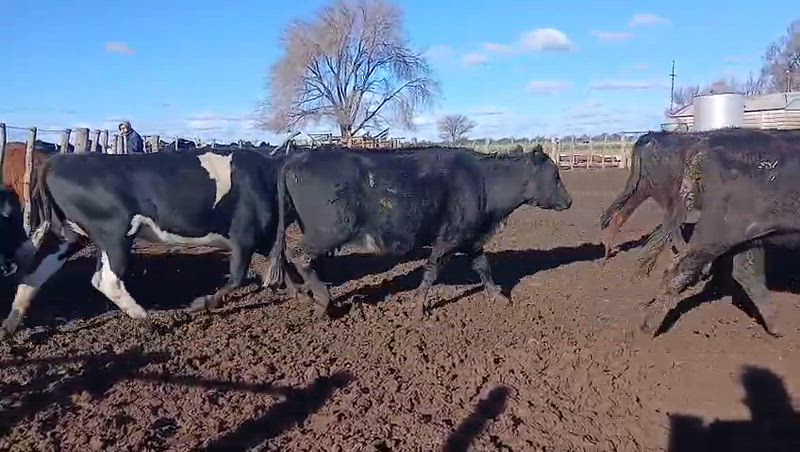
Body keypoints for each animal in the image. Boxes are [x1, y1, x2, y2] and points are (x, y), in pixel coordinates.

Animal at [0, 149, 293, 338]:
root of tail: (55, 161)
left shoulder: (263, 239)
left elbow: (290, 270)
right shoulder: (245, 234)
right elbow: (238, 277)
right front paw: (200, 304)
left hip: (68, 234)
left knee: (33, 274)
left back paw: (10, 325)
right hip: (115, 233)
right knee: (106, 281)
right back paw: (147, 321)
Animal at [266, 145, 572, 319]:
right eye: (555, 175)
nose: (569, 201)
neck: (482, 182)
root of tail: (297, 157)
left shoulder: (471, 239)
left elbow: (483, 268)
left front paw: (498, 297)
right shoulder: (447, 240)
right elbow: (432, 270)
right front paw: (417, 308)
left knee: (288, 255)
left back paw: (306, 296)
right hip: (328, 232)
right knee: (298, 255)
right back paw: (322, 301)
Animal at [641, 129, 800, 337]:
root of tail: (701, 148)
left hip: (746, 235)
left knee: (747, 271)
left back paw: (777, 329)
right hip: (718, 228)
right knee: (678, 269)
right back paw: (646, 331)